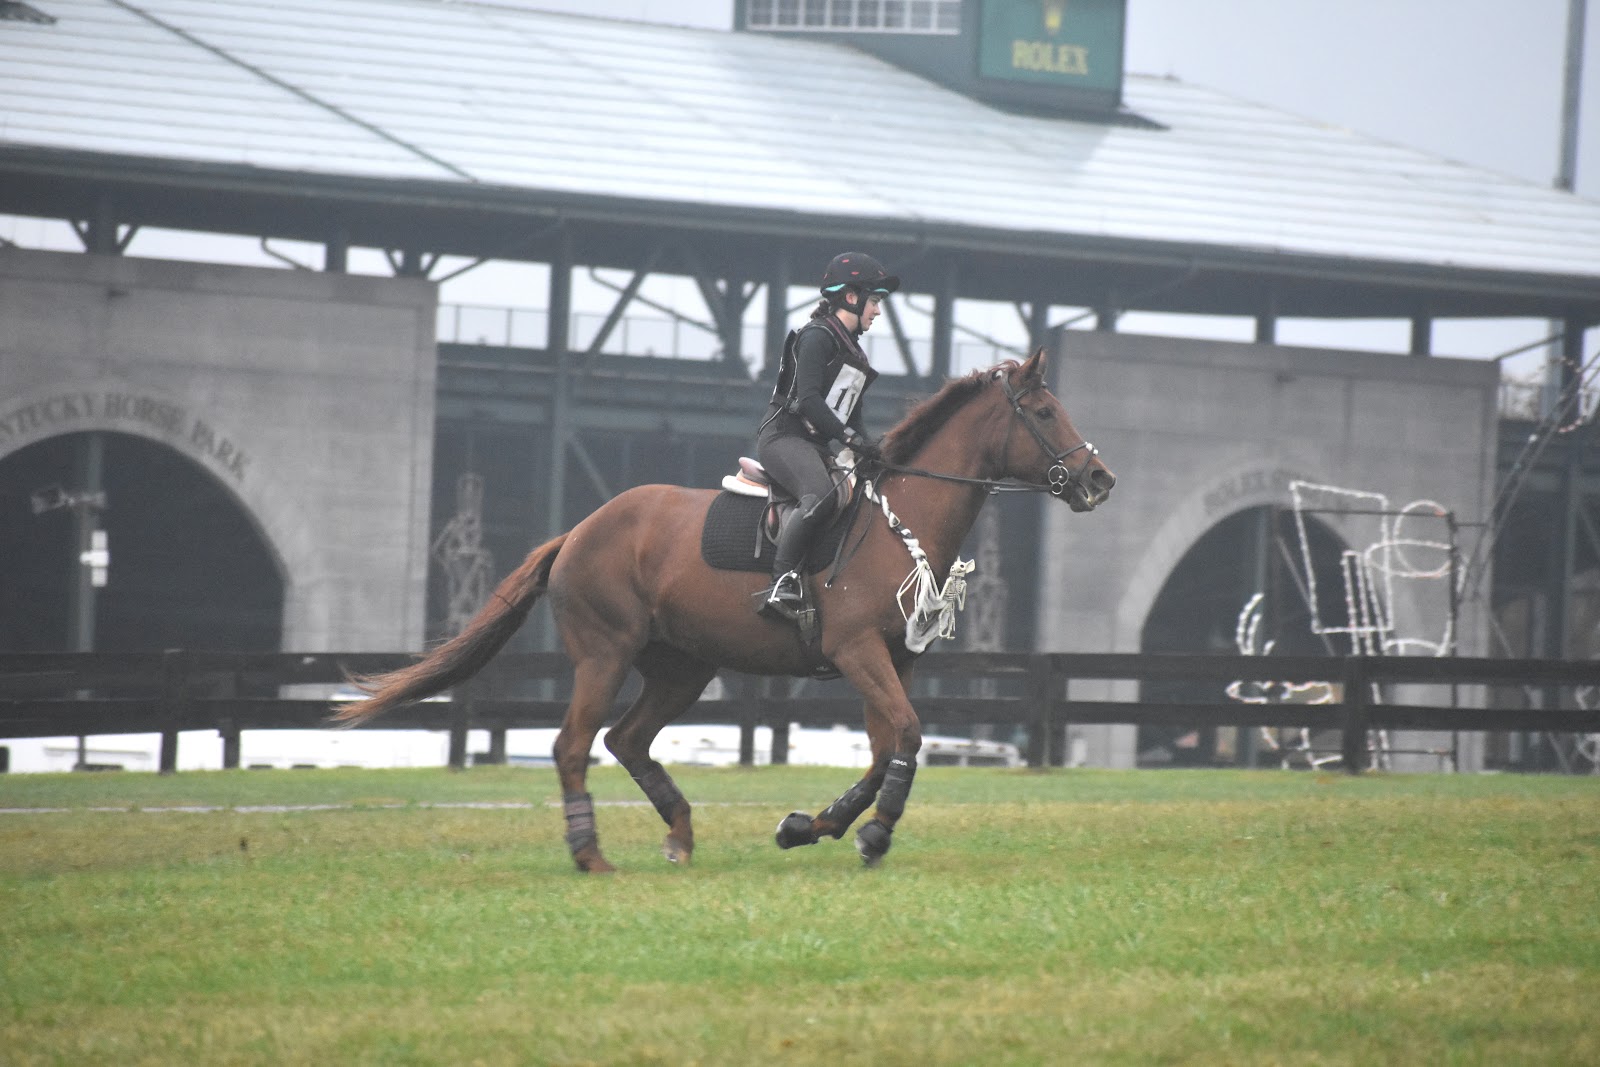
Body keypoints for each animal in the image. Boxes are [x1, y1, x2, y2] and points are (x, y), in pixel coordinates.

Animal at [332, 347, 1120, 870]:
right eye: (1044, 411)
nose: (1098, 479)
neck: (903, 520)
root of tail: (578, 530)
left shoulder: (892, 660)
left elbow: (885, 748)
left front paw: (812, 826)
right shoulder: (859, 652)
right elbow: (906, 736)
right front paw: (872, 833)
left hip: (683, 667)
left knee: (627, 740)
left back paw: (680, 836)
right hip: (605, 653)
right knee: (573, 745)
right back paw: (590, 854)